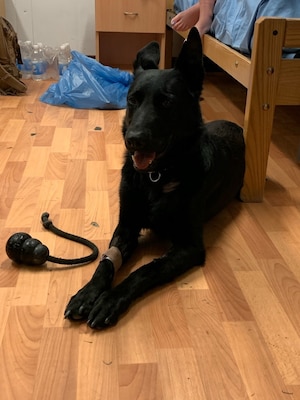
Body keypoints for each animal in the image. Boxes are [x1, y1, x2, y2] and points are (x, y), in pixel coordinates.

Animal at [64, 27, 245, 328]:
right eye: (132, 101)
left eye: (167, 102)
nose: (133, 140)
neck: (156, 177)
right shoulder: (126, 226)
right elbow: (106, 263)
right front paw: (87, 293)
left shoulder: (189, 246)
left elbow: (147, 270)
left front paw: (110, 300)